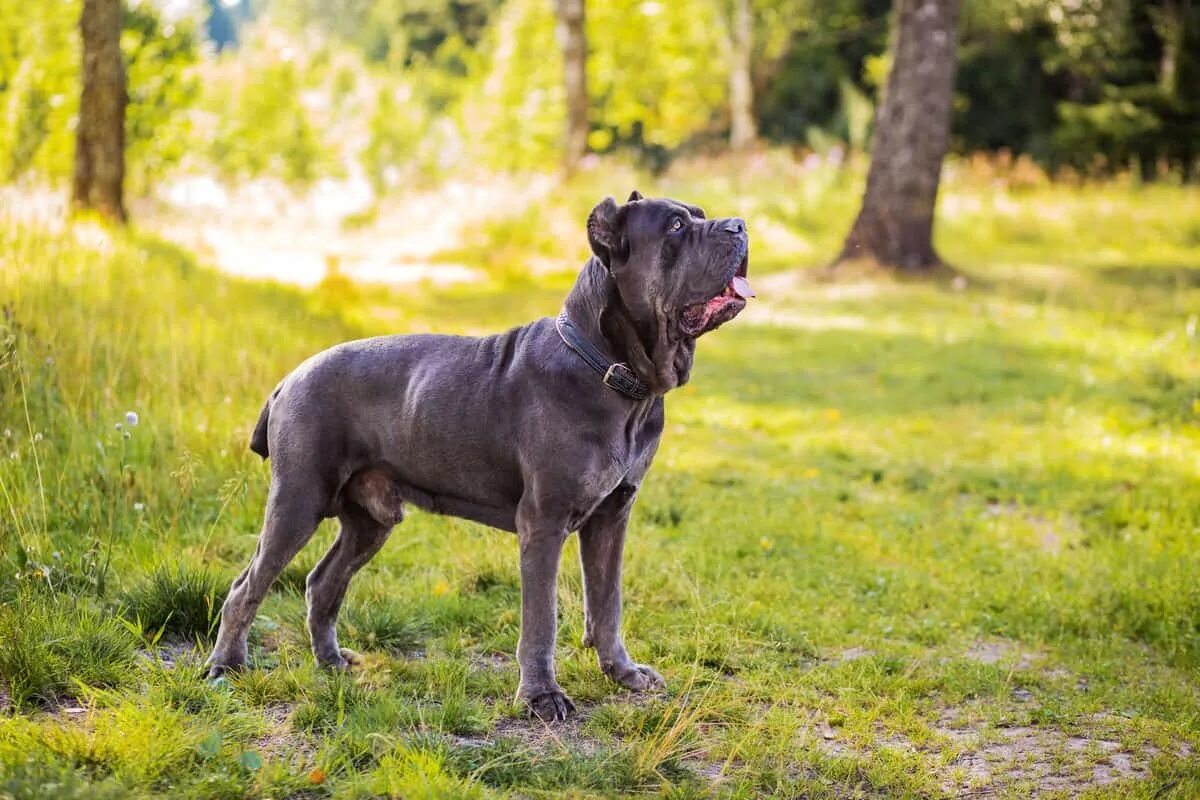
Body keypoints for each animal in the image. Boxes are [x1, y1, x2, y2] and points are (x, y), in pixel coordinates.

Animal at [205, 190, 748, 724]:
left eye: (699, 214)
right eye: (676, 226)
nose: (740, 225)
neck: (610, 370)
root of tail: (288, 378)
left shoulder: (613, 515)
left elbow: (607, 602)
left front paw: (624, 673)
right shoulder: (544, 521)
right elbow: (542, 618)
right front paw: (541, 697)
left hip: (370, 520)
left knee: (323, 583)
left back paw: (332, 662)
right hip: (299, 500)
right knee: (246, 586)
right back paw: (226, 667)